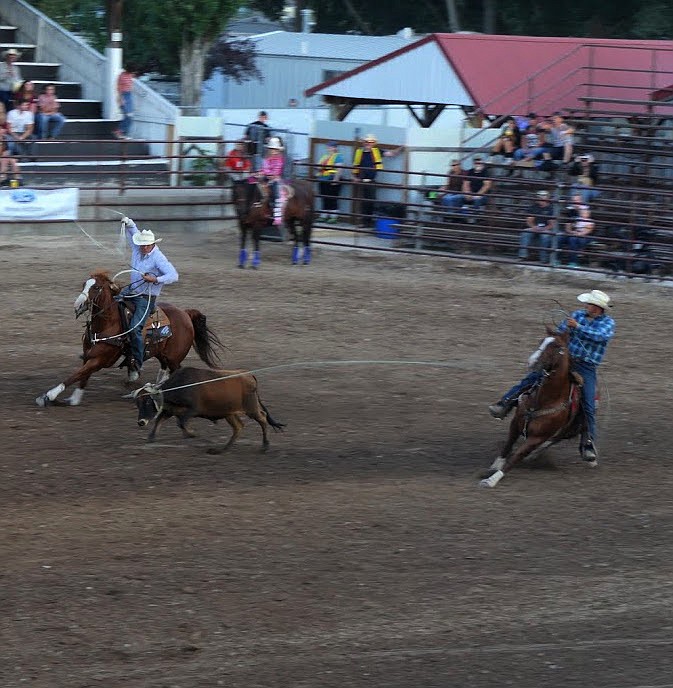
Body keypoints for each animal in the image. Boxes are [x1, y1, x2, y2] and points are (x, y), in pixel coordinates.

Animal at [34, 270, 223, 408]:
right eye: (84, 284)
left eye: (96, 287)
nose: (78, 304)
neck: (107, 324)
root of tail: (185, 313)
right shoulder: (88, 355)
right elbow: (83, 376)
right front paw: (74, 398)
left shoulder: (100, 359)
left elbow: (76, 374)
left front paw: (48, 395)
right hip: (161, 353)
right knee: (165, 371)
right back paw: (147, 389)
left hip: (174, 357)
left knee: (175, 371)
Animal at [480, 330, 584, 486]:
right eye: (541, 341)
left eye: (556, 346)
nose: (532, 362)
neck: (545, 400)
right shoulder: (516, 423)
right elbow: (507, 446)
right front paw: (494, 466)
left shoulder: (537, 437)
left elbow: (517, 456)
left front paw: (492, 479)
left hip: (569, 430)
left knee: (553, 440)